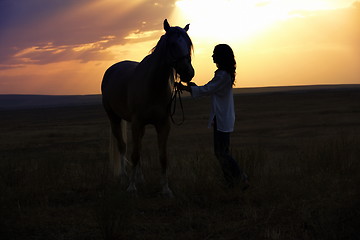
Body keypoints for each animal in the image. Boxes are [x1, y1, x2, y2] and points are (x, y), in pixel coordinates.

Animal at [100, 19, 195, 197]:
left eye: (188, 43)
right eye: (172, 44)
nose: (188, 72)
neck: (153, 85)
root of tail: (112, 69)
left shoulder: (163, 124)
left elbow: (162, 157)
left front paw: (166, 189)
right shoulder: (137, 123)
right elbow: (134, 154)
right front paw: (131, 187)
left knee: (138, 145)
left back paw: (140, 178)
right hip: (114, 118)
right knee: (122, 146)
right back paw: (123, 177)